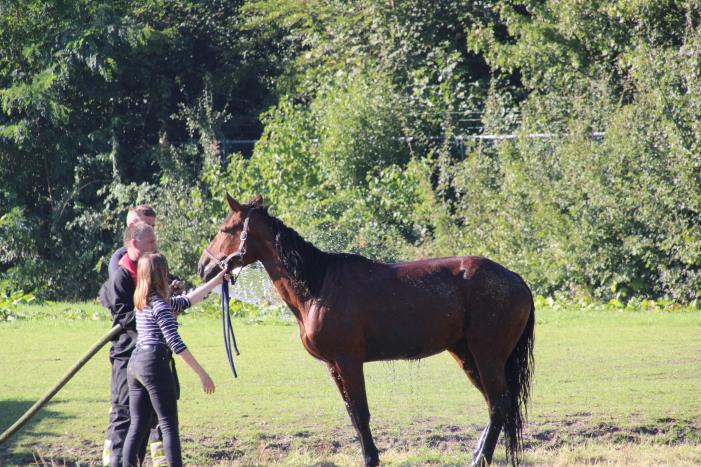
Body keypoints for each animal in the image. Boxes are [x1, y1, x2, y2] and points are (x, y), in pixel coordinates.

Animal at [198, 194, 535, 467]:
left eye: (226, 229)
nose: (203, 267)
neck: (319, 285)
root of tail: (517, 279)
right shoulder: (333, 366)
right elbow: (352, 413)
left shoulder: (349, 361)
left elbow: (361, 414)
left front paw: (371, 459)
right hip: (467, 356)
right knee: (498, 405)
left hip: (487, 356)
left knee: (498, 406)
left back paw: (479, 458)